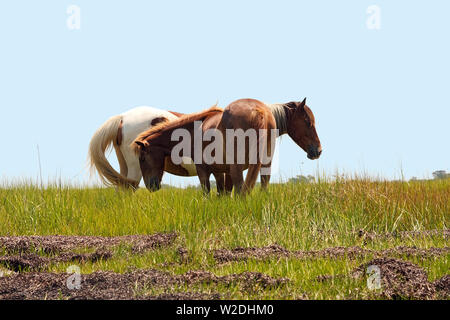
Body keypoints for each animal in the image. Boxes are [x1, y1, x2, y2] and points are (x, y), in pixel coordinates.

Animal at [133, 97, 320, 194]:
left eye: (142, 158)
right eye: (308, 122)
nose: (317, 150)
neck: (194, 130)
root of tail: (260, 112)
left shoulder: (204, 170)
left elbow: (208, 193)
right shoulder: (221, 171)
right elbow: (223, 193)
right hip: (263, 164)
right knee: (262, 185)